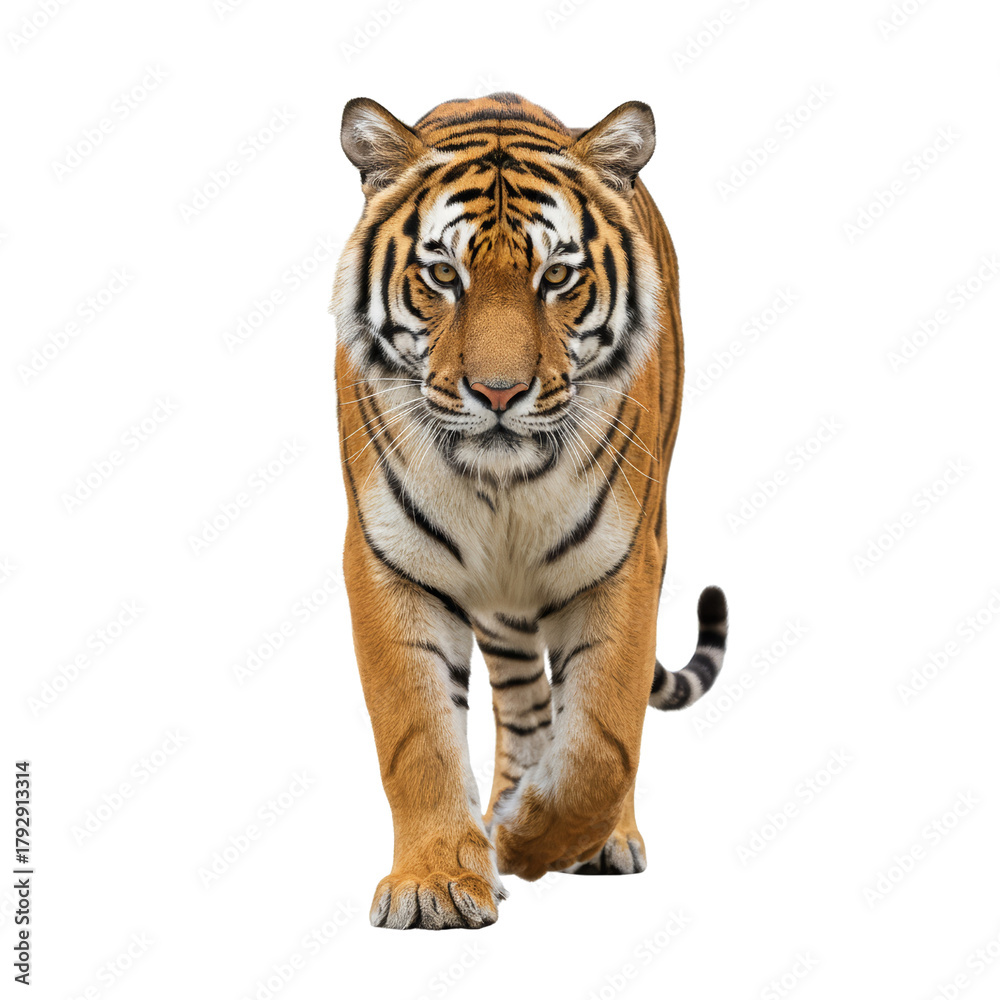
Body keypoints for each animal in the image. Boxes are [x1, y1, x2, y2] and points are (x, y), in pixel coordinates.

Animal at [331, 92, 728, 930]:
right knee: (521, 704)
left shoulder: (624, 561)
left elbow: (603, 738)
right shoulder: (388, 562)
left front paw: (529, 841)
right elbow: (416, 734)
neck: (502, 486)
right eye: (442, 274)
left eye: (558, 276)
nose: (499, 392)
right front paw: (436, 881)